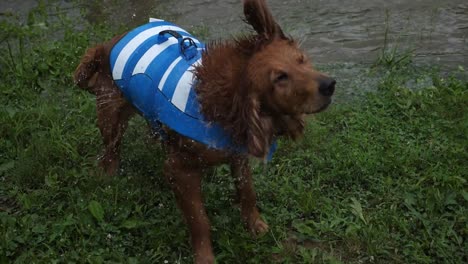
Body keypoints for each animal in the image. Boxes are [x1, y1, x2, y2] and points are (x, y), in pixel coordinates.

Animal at [74, 1, 332, 262]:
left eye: (301, 60)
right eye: (280, 77)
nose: (329, 85)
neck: (226, 105)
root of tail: (107, 44)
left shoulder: (237, 155)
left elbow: (248, 192)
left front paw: (254, 224)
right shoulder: (180, 170)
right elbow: (199, 220)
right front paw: (205, 256)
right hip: (110, 115)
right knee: (111, 150)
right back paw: (108, 175)